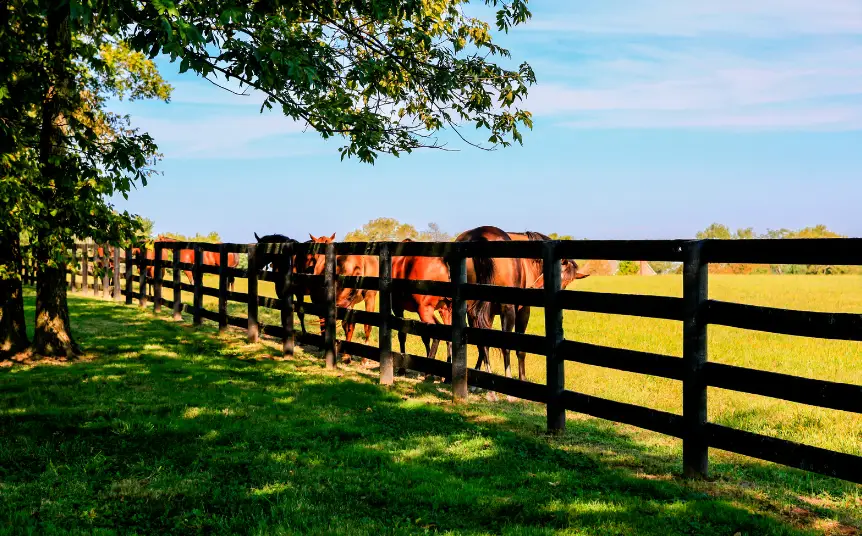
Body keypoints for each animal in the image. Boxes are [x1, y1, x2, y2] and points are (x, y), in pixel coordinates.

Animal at [456, 226, 592, 382]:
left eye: (566, 283)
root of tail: (480, 234)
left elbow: (483, 344)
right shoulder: (523, 310)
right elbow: (519, 348)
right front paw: (522, 377)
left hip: (472, 309)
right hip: (507, 309)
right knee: (505, 344)